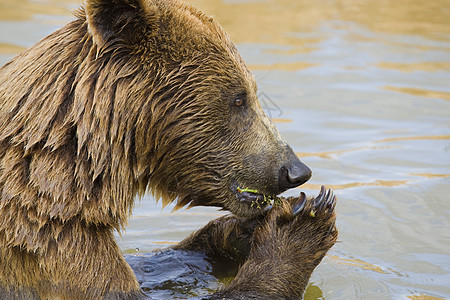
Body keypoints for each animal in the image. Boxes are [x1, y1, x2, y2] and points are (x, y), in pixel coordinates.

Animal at [0, 0, 338, 298]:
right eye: (239, 98)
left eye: (250, 93)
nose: (295, 170)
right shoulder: (47, 244)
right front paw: (301, 224)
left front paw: (247, 230)